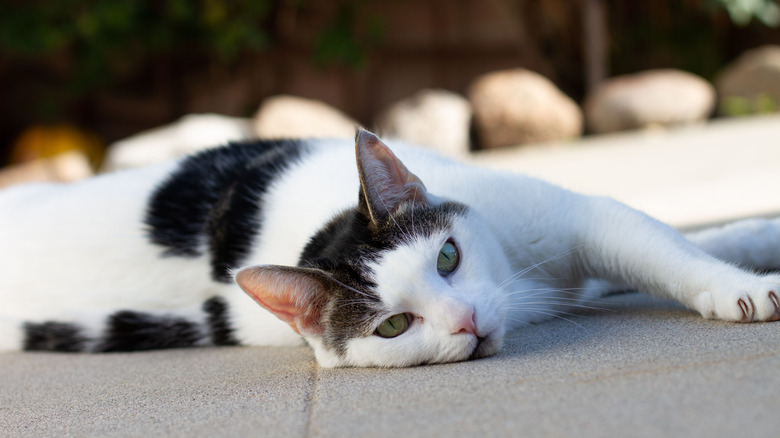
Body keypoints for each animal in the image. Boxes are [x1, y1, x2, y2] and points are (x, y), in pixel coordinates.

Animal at [1, 128, 780, 368]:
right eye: (395, 326)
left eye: (448, 257)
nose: (468, 321)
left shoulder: (578, 224)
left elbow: (678, 247)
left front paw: (747, 268)